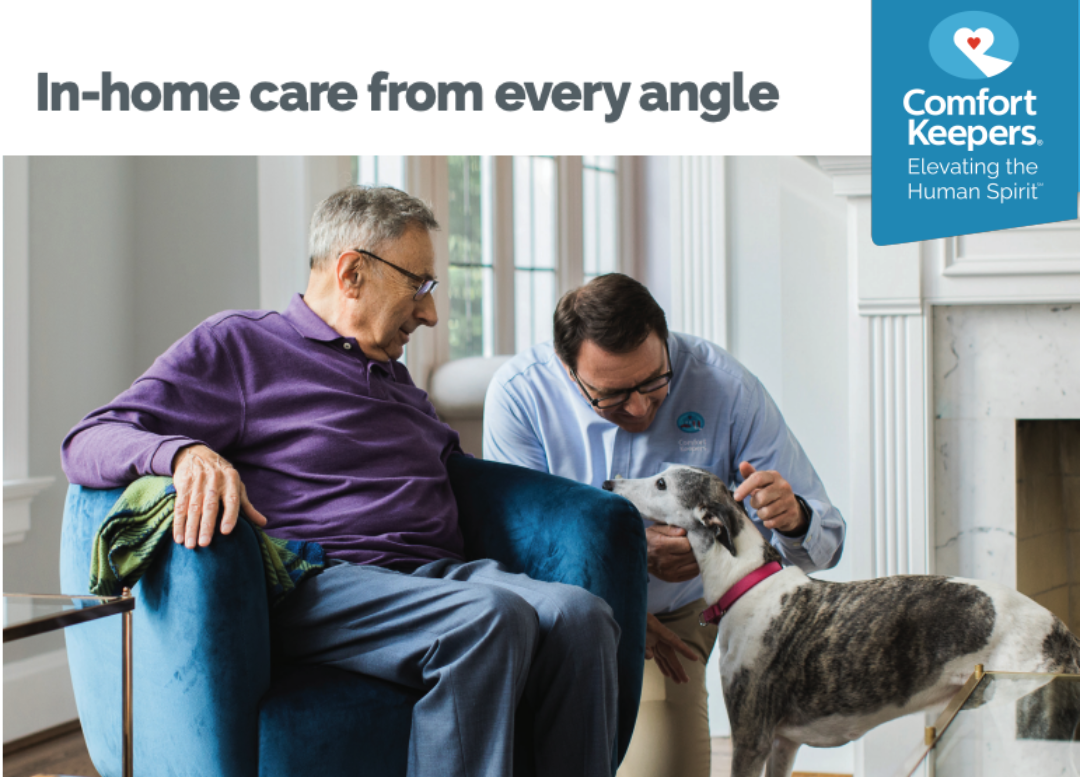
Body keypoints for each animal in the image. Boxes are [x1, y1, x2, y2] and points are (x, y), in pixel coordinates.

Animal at [604, 469, 1080, 777]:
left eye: (662, 483)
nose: (609, 483)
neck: (748, 582)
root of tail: (1061, 632)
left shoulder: (751, 735)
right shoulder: (784, 742)